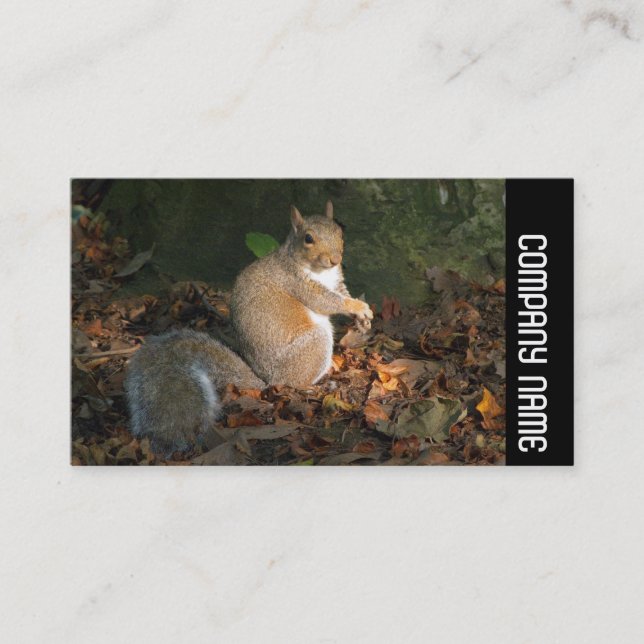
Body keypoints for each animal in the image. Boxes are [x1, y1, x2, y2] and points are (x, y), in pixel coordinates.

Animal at [125, 200, 373, 455]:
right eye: (308, 238)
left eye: (340, 232)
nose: (335, 259)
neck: (320, 271)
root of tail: (267, 381)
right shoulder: (296, 282)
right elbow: (326, 301)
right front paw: (356, 306)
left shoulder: (336, 281)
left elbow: (341, 292)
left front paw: (364, 318)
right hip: (313, 345)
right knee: (294, 382)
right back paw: (312, 385)